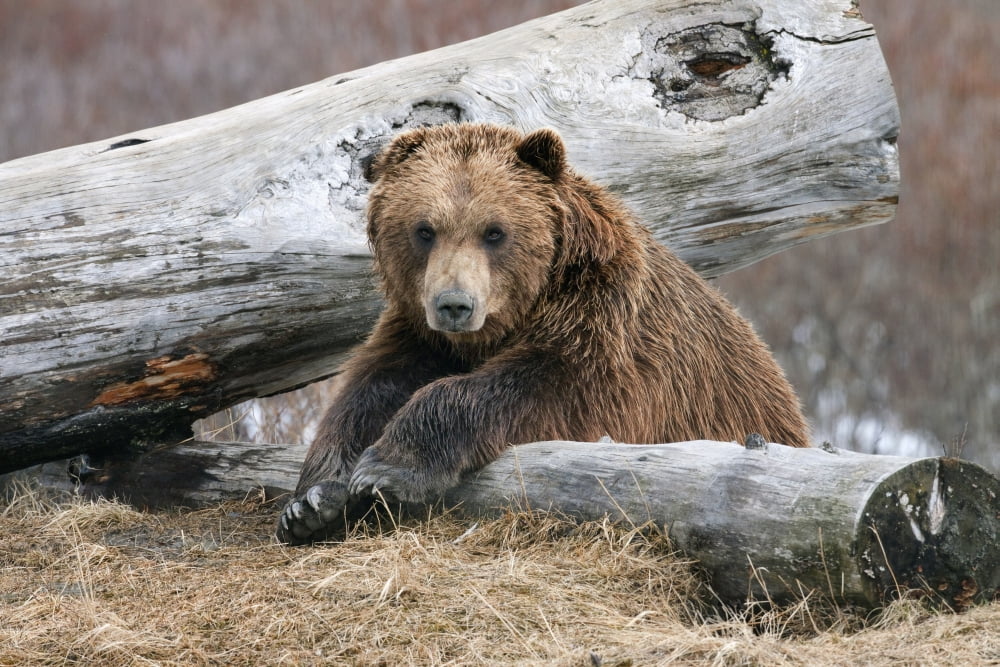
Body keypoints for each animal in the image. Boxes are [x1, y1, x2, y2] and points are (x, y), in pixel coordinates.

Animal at [276, 123, 810, 544]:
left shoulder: (602, 330)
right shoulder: (419, 335)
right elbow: (368, 390)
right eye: (424, 229)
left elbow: (540, 387)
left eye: (494, 231)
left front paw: (386, 469)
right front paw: (314, 502)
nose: (454, 304)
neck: (510, 319)